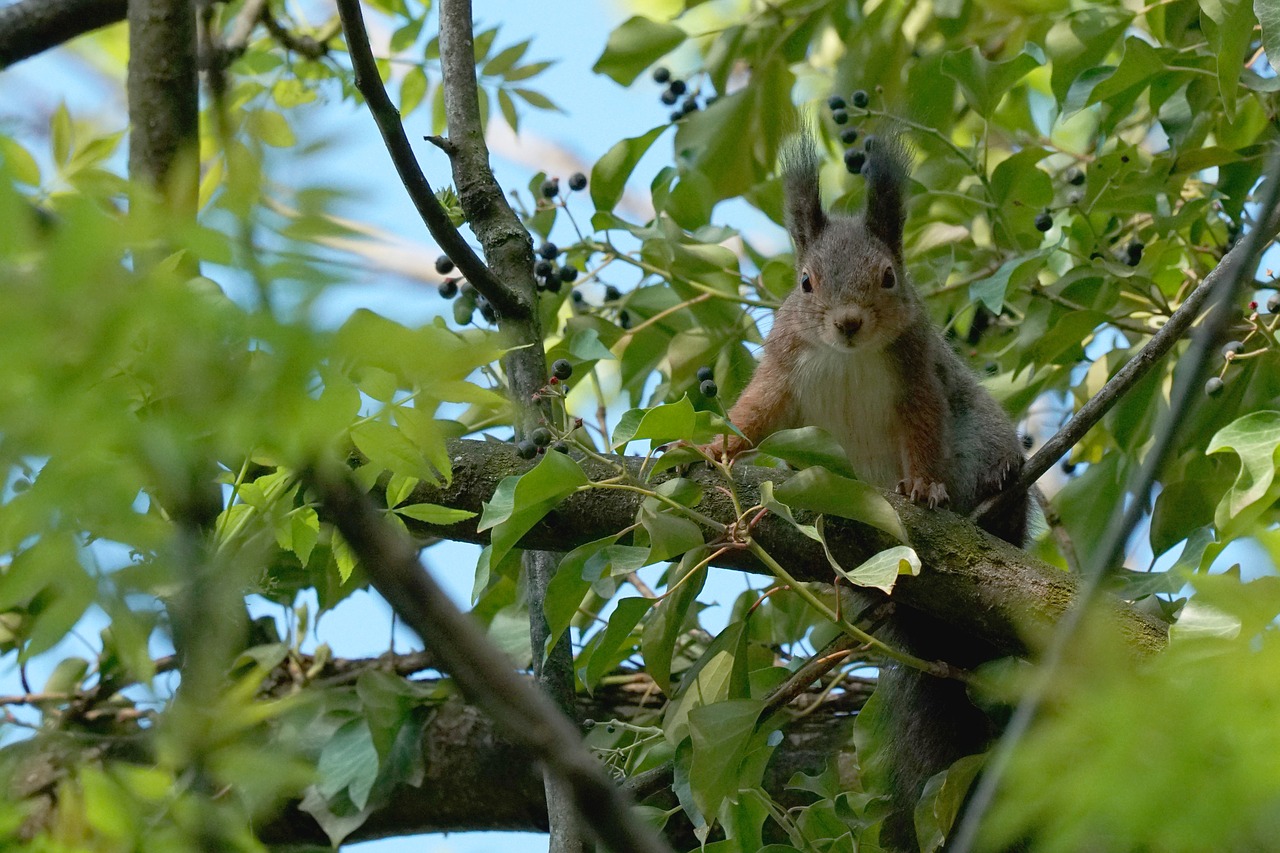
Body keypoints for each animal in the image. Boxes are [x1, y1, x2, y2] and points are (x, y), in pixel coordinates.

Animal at [721, 129, 1029, 845]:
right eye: (806, 281)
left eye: (889, 276)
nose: (849, 322)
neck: (849, 358)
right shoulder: (782, 371)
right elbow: (754, 417)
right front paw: (713, 447)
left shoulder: (920, 378)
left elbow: (923, 432)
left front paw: (923, 489)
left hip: (983, 438)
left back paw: (1000, 494)